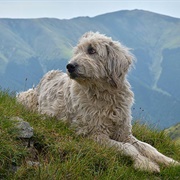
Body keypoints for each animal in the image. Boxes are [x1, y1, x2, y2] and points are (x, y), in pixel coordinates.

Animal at [16, 31, 179, 172]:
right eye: (77, 51)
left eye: (92, 50)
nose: (70, 66)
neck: (106, 96)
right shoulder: (94, 134)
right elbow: (129, 148)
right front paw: (145, 163)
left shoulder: (124, 132)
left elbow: (148, 147)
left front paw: (170, 161)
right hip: (26, 97)